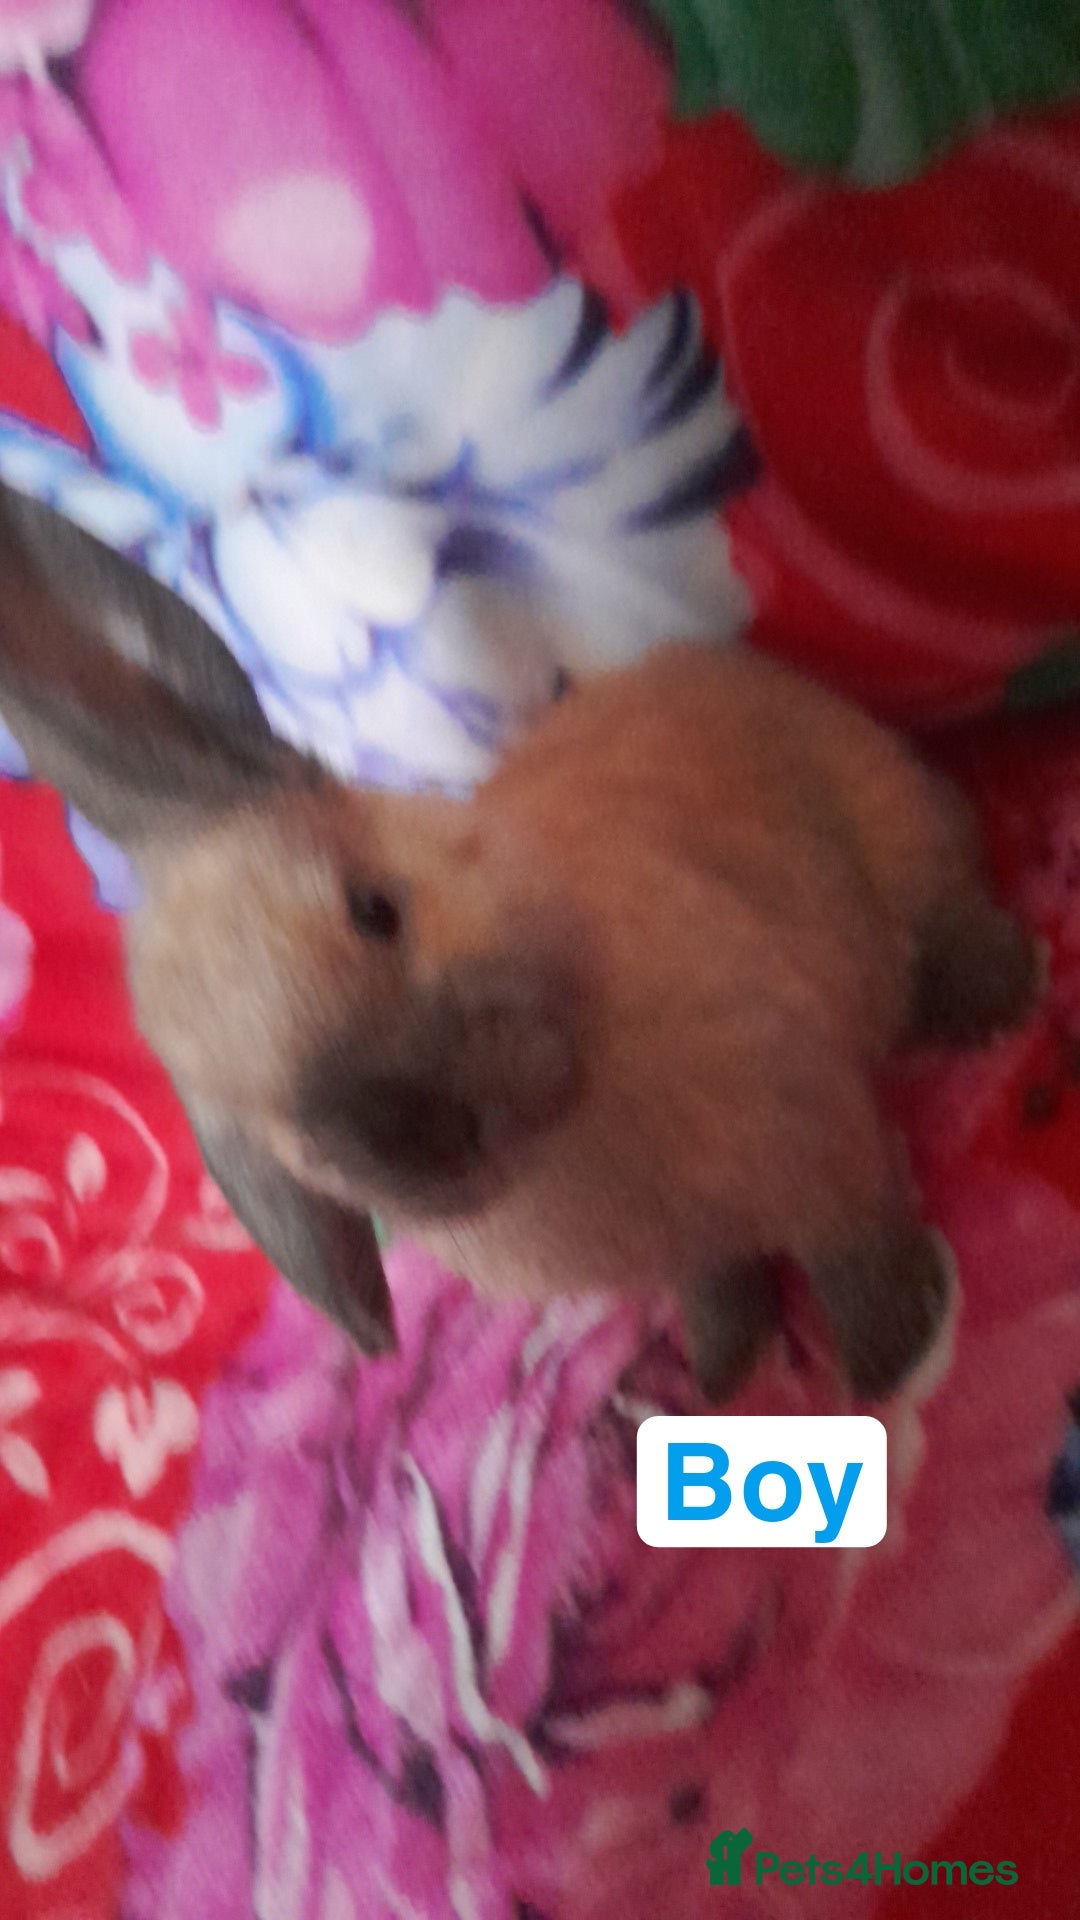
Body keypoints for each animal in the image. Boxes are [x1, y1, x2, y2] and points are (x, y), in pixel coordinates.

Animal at [0, 484, 1041, 1401]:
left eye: (374, 909)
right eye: (290, 1142)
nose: (435, 1138)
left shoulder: (816, 1142)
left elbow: (852, 1248)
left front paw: (892, 1362)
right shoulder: (699, 1244)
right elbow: (720, 1281)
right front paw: (722, 1371)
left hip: (893, 830)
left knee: (947, 904)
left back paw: (996, 1002)